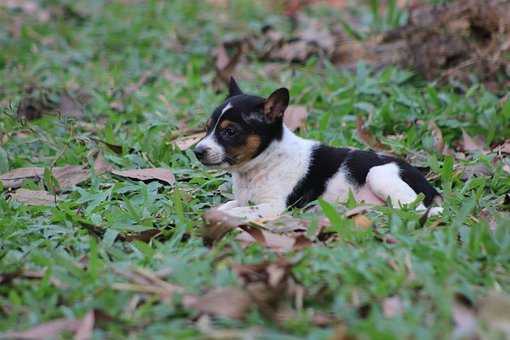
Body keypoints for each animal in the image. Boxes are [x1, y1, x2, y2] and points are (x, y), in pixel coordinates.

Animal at [193, 77, 440, 220]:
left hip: (378, 175)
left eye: (230, 132)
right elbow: (227, 206)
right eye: (207, 128)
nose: (197, 152)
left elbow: (239, 212)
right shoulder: (245, 200)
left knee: (414, 210)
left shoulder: (274, 207)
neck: (263, 162)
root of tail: (431, 189)